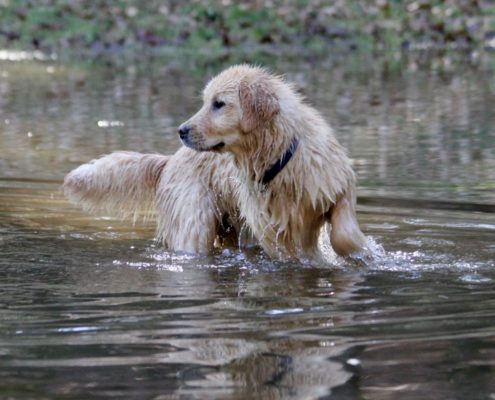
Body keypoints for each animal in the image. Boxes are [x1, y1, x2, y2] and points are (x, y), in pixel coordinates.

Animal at [64, 65, 368, 260]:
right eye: (205, 102)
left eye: (219, 104)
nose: (181, 130)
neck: (280, 159)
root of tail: (170, 160)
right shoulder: (271, 232)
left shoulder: (339, 183)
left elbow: (343, 233)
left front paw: (358, 250)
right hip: (193, 221)